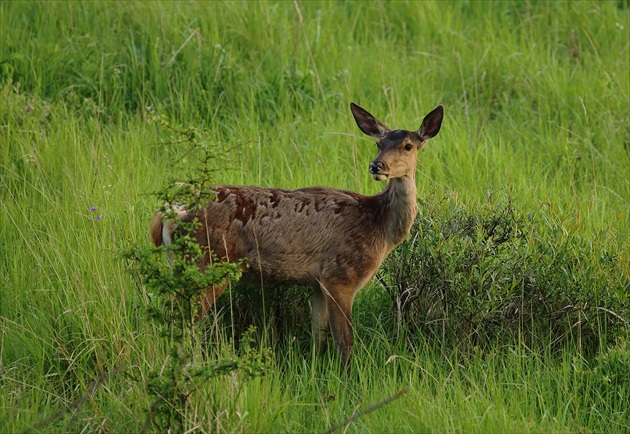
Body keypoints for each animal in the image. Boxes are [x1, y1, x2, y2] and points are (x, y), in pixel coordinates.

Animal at [149, 102, 444, 370]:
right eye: (378, 143)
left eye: (408, 145)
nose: (376, 166)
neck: (378, 226)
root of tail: (167, 212)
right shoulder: (341, 275)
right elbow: (344, 343)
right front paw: (347, 380)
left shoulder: (318, 282)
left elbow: (318, 339)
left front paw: (316, 372)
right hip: (208, 262)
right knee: (182, 320)